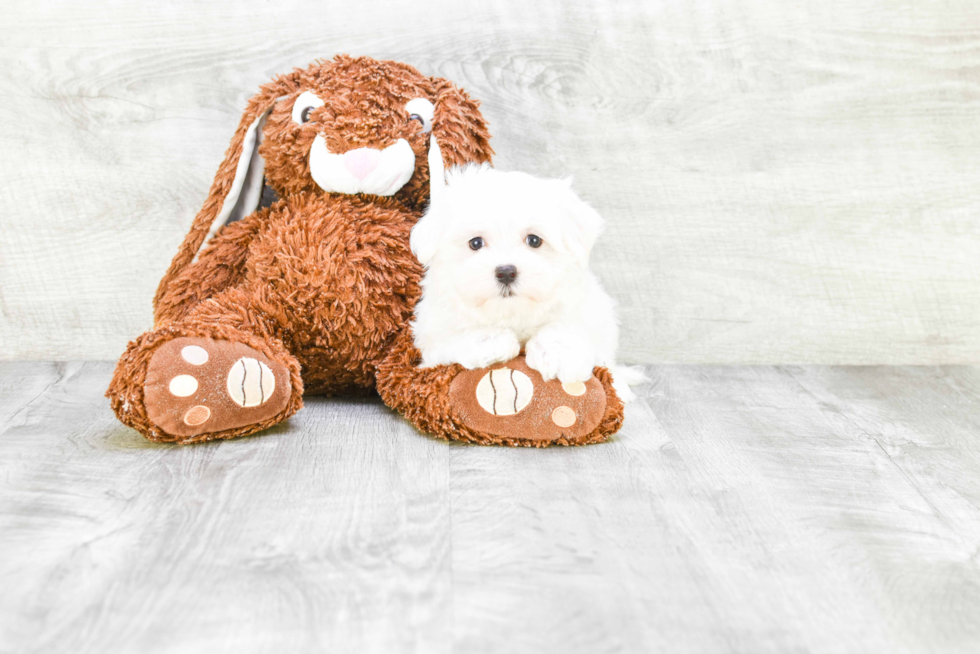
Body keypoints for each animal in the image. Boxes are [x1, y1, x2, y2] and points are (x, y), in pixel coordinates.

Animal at [408, 162, 644, 402]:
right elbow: (451, 339)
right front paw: (490, 341)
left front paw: (557, 355)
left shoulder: (589, 314)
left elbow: (566, 327)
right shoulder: (432, 338)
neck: (513, 314)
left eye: (534, 240)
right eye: (475, 243)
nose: (505, 272)